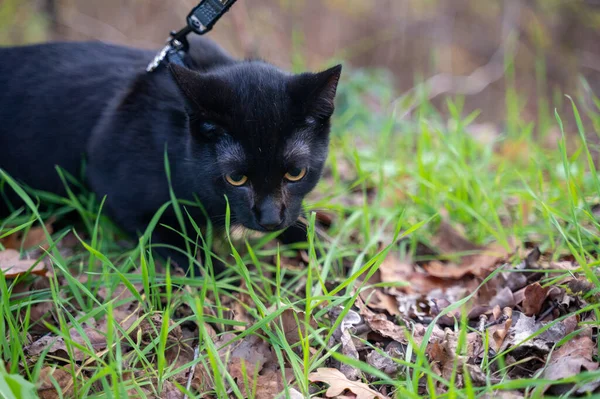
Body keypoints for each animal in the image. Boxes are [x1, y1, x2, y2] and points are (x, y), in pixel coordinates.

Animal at [0, 36, 342, 272]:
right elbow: (191, 254)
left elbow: (303, 226)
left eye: (295, 173)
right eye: (236, 178)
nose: (270, 219)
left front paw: (330, 262)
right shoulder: (117, 190)